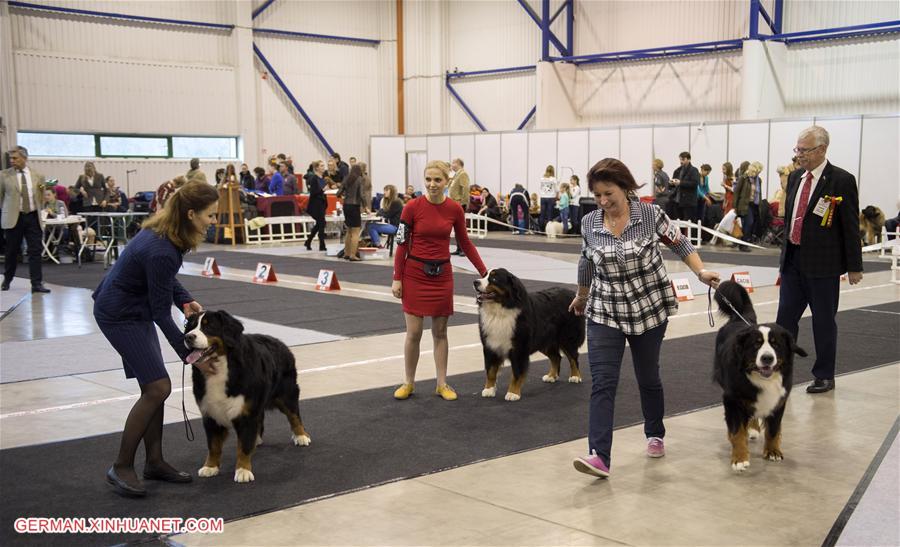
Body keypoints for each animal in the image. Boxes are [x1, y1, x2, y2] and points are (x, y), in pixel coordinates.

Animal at [182, 312, 310, 484]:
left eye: (208, 326)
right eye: (190, 326)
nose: (188, 337)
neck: (222, 366)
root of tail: (279, 342)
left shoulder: (247, 413)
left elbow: (243, 446)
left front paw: (243, 470)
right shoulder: (210, 414)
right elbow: (213, 445)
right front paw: (210, 467)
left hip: (286, 394)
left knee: (294, 415)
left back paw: (301, 436)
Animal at [474, 270, 588, 402]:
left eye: (494, 279)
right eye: (484, 276)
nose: (475, 282)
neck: (500, 311)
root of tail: (572, 293)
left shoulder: (519, 349)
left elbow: (516, 373)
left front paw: (513, 393)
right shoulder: (490, 346)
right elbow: (491, 371)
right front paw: (489, 389)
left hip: (567, 338)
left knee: (573, 358)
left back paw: (575, 376)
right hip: (544, 341)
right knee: (556, 357)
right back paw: (551, 376)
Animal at [712, 280, 804, 474]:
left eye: (776, 344)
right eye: (756, 345)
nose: (767, 358)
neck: (763, 380)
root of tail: (739, 319)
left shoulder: (779, 400)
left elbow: (773, 430)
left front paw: (773, 451)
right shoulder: (732, 399)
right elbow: (737, 431)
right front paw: (739, 458)